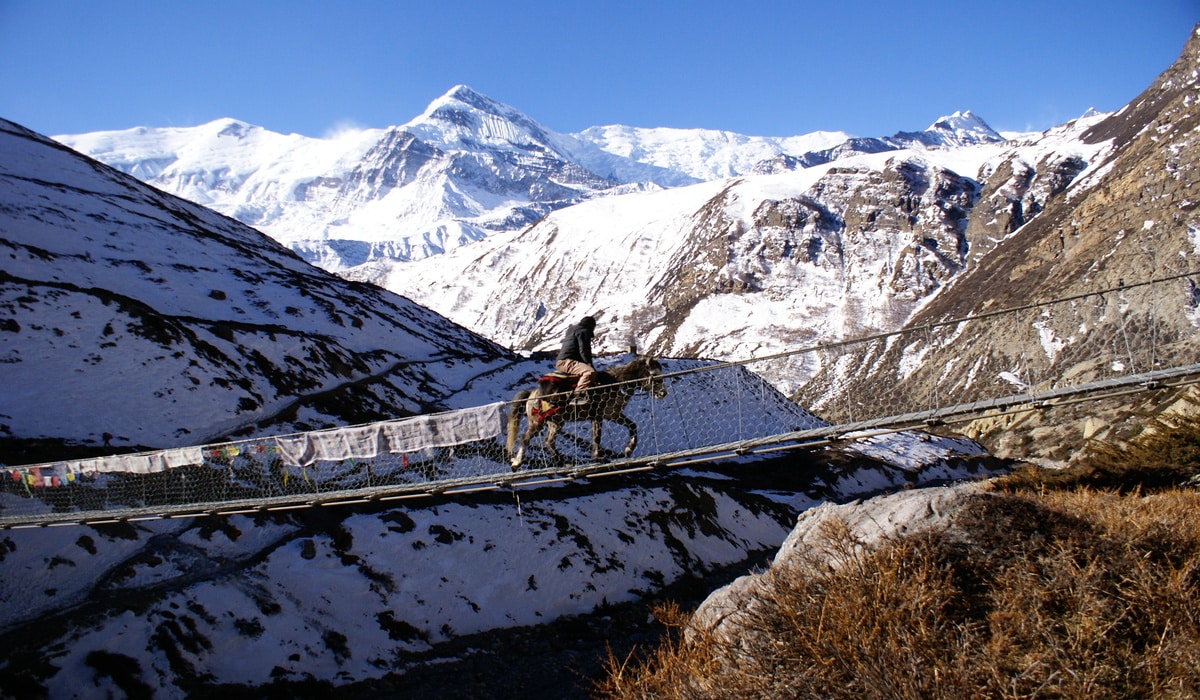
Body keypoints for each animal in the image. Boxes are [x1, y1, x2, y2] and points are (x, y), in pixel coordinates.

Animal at [506, 355, 672, 470]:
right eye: (654, 374)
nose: (663, 393)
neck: (616, 384)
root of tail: (532, 394)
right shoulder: (598, 416)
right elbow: (597, 437)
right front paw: (598, 457)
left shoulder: (613, 415)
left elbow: (632, 426)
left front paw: (628, 449)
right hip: (538, 422)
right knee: (527, 439)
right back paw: (517, 462)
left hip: (555, 423)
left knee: (547, 441)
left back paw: (561, 462)